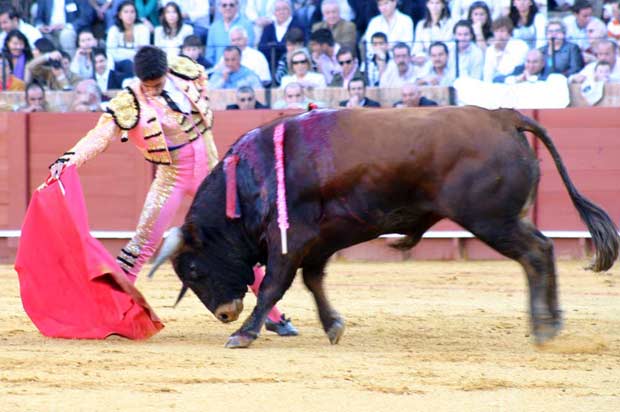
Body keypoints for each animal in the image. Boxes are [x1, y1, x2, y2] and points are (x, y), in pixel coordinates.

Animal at [148, 106, 616, 348]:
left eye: (194, 270)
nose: (226, 313)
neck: (251, 177)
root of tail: (503, 116)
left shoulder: (289, 240)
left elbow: (273, 286)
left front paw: (243, 334)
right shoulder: (320, 241)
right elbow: (313, 281)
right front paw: (333, 326)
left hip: (490, 220)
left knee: (536, 253)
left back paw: (544, 327)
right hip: (501, 219)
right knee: (545, 249)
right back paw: (552, 321)